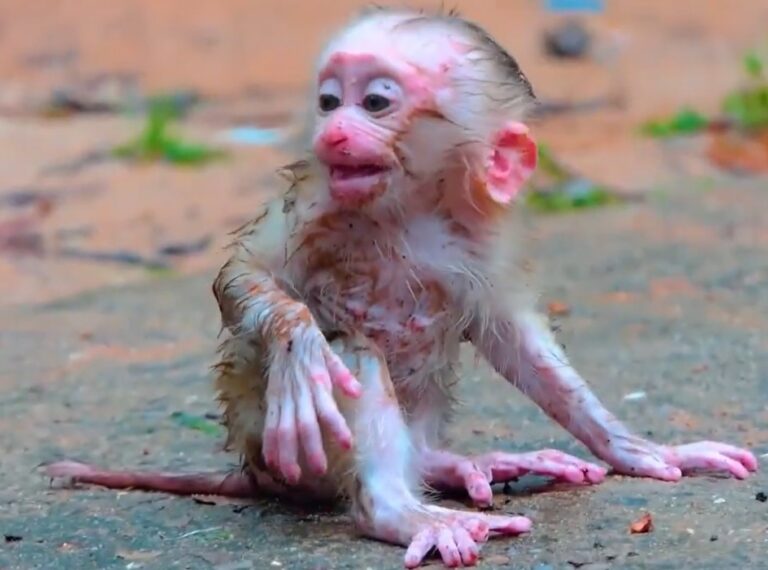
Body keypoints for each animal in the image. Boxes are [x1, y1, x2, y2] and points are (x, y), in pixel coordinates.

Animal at [45, 7, 758, 569]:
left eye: (376, 102)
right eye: (330, 100)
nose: (333, 129)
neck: (407, 211)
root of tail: (248, 468)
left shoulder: (478, 240)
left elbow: (516, 343)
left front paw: (639, 448)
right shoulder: (317, 201)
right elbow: (245, 276)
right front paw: (299, 345)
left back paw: (451, 467)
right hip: (275, 451)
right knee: (354, 353)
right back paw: (397, 508)